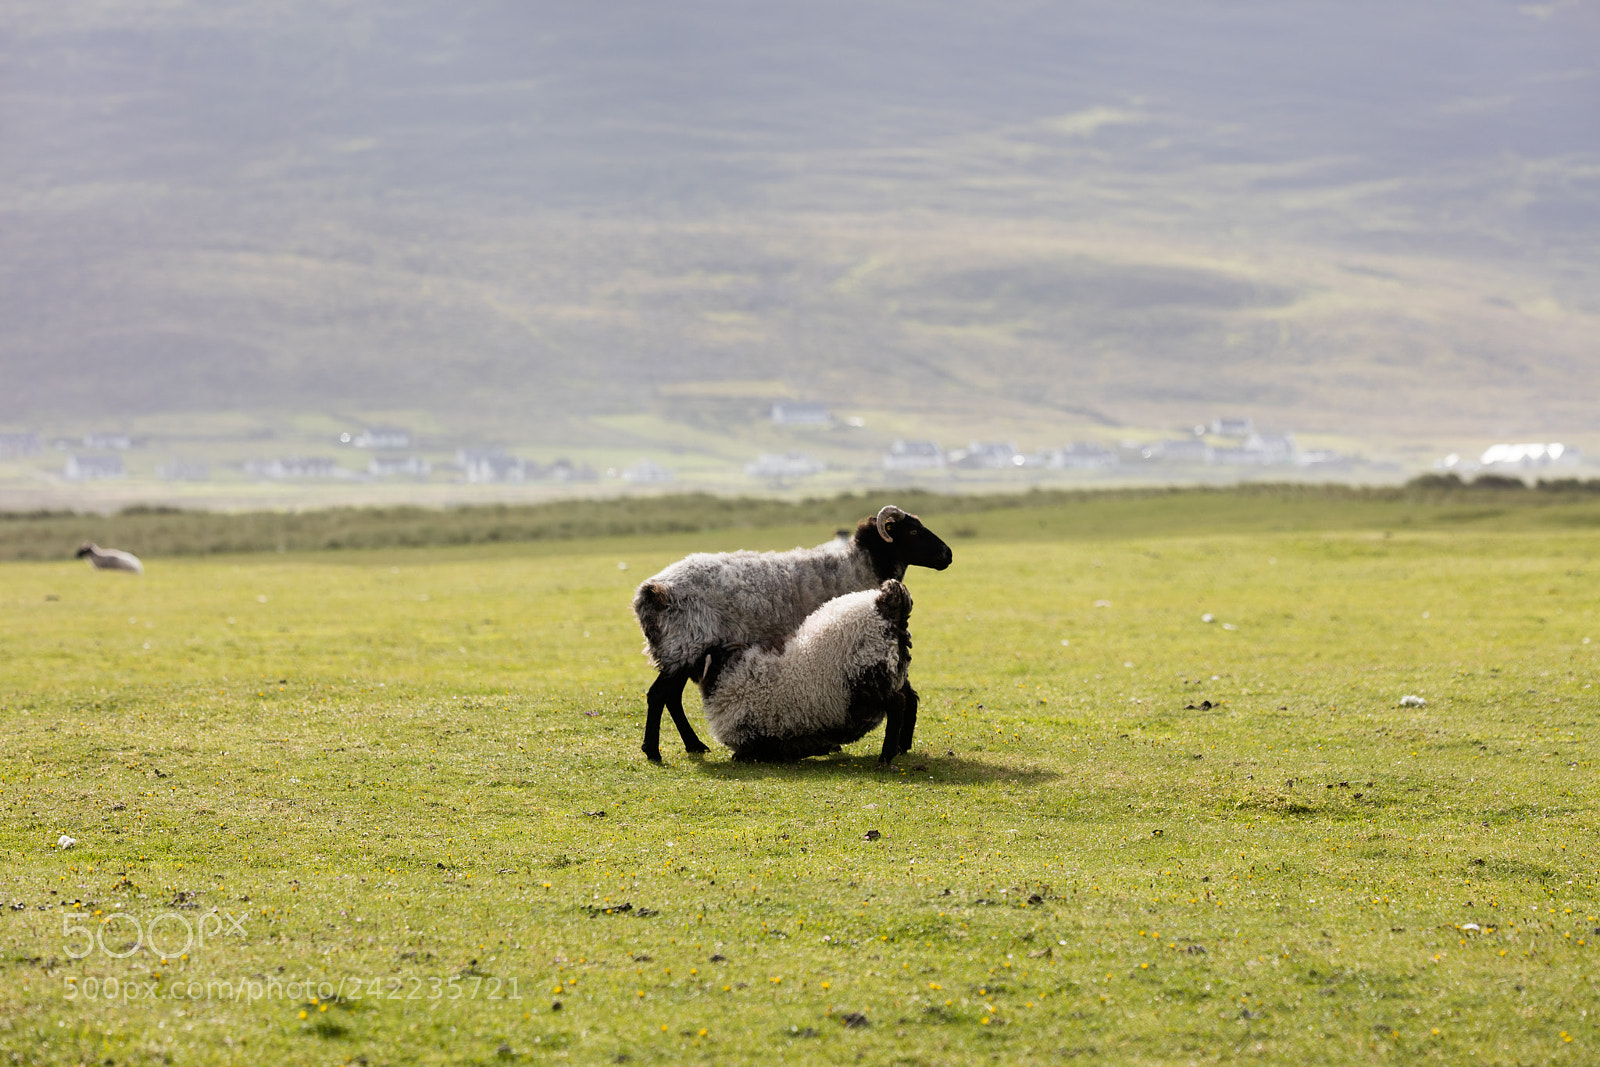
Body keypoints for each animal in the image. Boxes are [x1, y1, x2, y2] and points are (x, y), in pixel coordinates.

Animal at [695, 579, 915, 764]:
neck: (724, 679)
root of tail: (883, 605)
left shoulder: (758, 737)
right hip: (894, 674)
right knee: (910, 699)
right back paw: (902, 746)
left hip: (869, 680)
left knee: (898, 704)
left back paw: (886, 755)